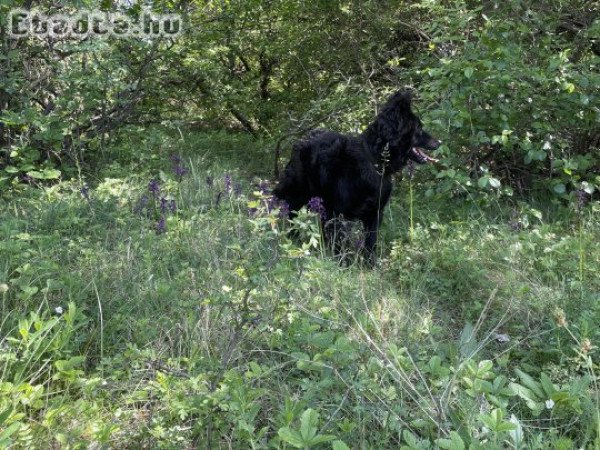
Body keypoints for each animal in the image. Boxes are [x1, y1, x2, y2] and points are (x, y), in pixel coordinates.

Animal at [274, 90, 438, 260]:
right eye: (418, 128)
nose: (438, 142)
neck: (373, 160)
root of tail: (303, 139)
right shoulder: (340, 214)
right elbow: (342, 244)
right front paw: (343, 263)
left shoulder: (374, 214)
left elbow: (370, 244)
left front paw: (369, 264)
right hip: (297, 194)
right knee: (291, 215)